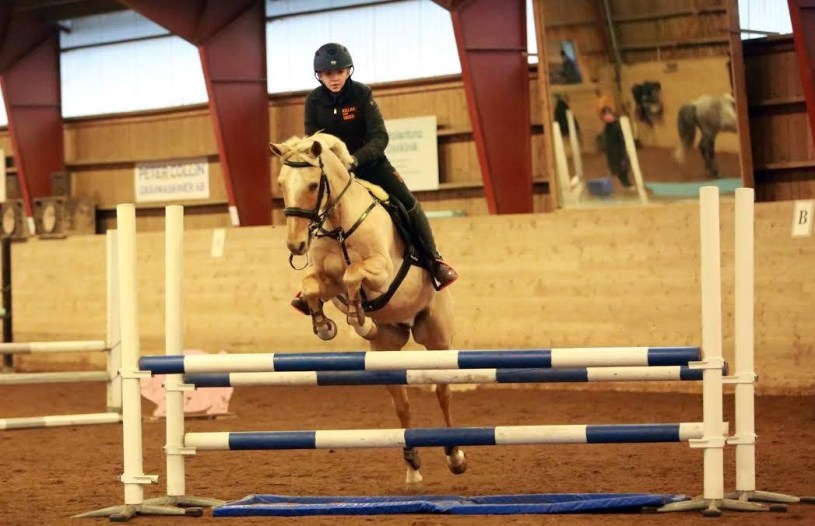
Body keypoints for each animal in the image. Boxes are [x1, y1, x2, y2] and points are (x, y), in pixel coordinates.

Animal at [269, 132, 466, 484]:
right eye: (281, 183)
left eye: (312, 185)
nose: (296, 245)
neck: (339, 224)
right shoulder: (327, 282)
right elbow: (313, 285)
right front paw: (324, 325)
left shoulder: (382, 272)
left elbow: (353, 275)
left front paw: (358, 319)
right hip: (385, 350)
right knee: (402, 405)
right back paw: (412, 463)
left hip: (438, 341)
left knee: (443, 393)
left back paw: (454, 455)